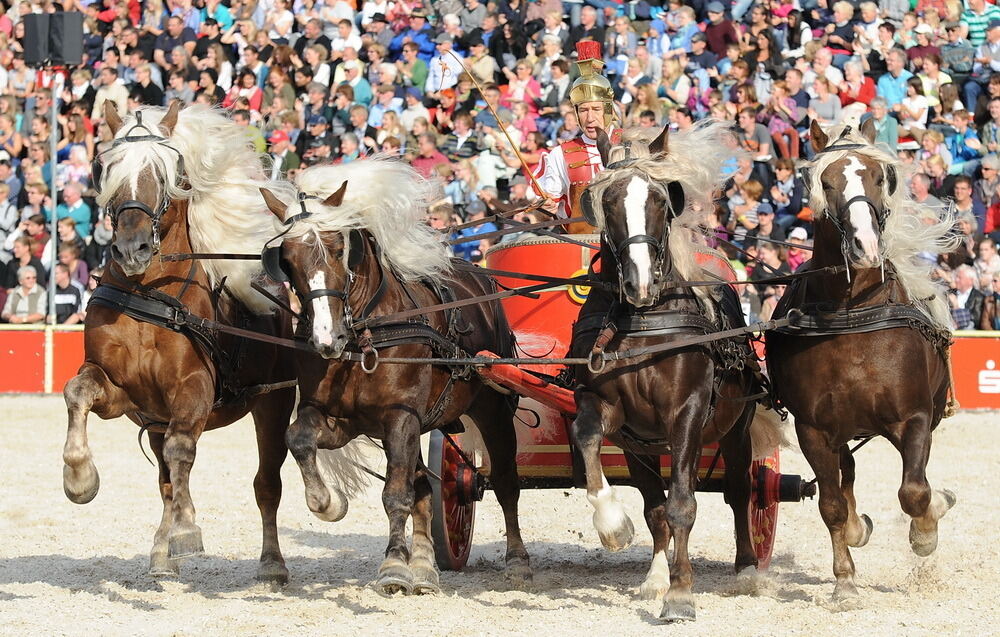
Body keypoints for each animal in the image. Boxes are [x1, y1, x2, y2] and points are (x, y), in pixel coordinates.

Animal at [59, 102, 296, 584]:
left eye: (168, 171)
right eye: (106, 167)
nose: (132, 248)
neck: (149, 293)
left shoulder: (195, 390)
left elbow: (182, 449)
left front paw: (187, 528)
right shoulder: (121, 392)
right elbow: (77, 393)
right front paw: (79, 478)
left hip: (273, 403)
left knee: (266, 485)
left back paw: (271, 563)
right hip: (155, 419)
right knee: (166, 478)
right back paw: (161, 551)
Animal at [262, 157, 536, 592]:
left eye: (339, 248)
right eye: (285, 258)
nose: (326, 337)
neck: (363, 337)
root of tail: (480, 277)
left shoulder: (400, 418)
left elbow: (395, 494)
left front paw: (392, 565)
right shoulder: (337, 417)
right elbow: (299, 439)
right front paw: (329, 503)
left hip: (491, 409)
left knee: (506, 483)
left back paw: (517, 561)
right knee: (423, 485)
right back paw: (424, 567)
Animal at [768, 119, 956, 600]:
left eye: (877, 176)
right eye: (825, 182)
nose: (865, 245)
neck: (852, 316)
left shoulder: (914, 418)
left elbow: (915, 492)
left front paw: (925, 534)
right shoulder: (814, 430)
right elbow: (832, 505)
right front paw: (845, 581)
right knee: (845, 476)